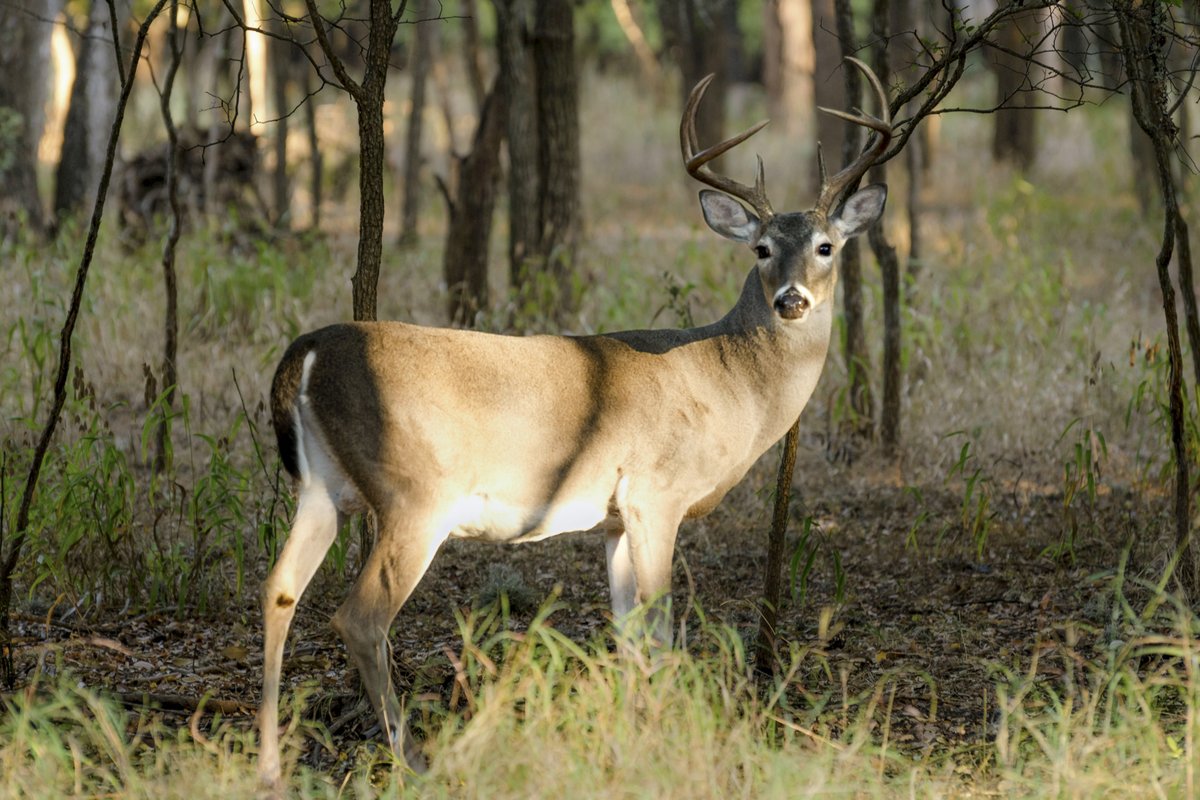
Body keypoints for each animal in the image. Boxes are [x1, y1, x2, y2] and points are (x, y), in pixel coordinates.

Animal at [257, 57, 893, 789]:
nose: (792, 299)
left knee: (279, 590)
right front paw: (667, 746)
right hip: (414, 494)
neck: (725, 382)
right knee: (359, 618)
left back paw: (269, 767)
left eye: (826, 245)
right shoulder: (655, 493)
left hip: (322, 488)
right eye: (761, 249)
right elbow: (662, 632)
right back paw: (415, 761)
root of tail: (307, 351)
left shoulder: (613, 520)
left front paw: (634, 739)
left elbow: (629, 638)